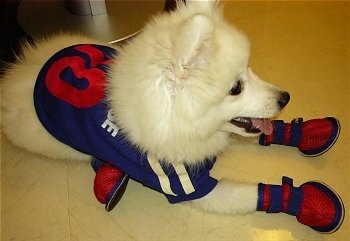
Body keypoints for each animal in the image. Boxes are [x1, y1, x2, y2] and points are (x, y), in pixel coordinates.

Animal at [2, 0, 342, 233]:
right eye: (235, 88)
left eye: (249, 69)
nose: (286, 98)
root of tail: (21, 71)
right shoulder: (188, 185)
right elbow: (254, 193)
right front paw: (306, 200)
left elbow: (262, 132)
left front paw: (306, 132)